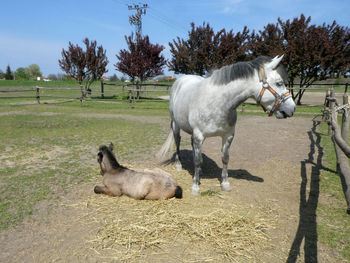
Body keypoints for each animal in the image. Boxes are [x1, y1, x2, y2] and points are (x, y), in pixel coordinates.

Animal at [158, 55, 296, 196]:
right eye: (279, 83)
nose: (292, 109)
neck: (217, 103)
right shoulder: (199, 135)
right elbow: (197, 160)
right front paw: (195, 188)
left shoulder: (228, 135)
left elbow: (224, 158)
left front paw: (225, 184)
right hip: (176, 125)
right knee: (178, 141)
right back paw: (179, 165)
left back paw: (200, 171)